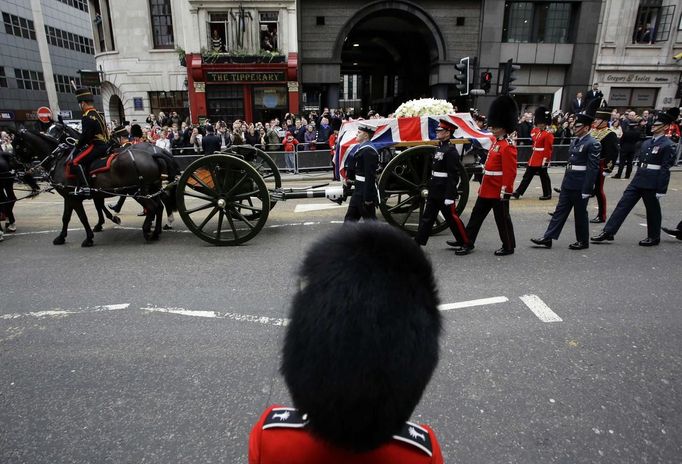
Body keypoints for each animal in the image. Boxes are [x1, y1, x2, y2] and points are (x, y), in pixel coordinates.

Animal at [12, 125, 178, 248]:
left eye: (16, 145)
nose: (16, 165)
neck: (60, 160)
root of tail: (155, 154)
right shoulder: (77, 195)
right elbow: (68, 217)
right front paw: (62, 237)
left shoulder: (75, 197)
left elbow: (83, 217)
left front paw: (90, 236)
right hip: (150, 188)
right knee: (159, 205)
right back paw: (156, 230)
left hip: (137, 191)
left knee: (154, 206)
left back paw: (148, 230)